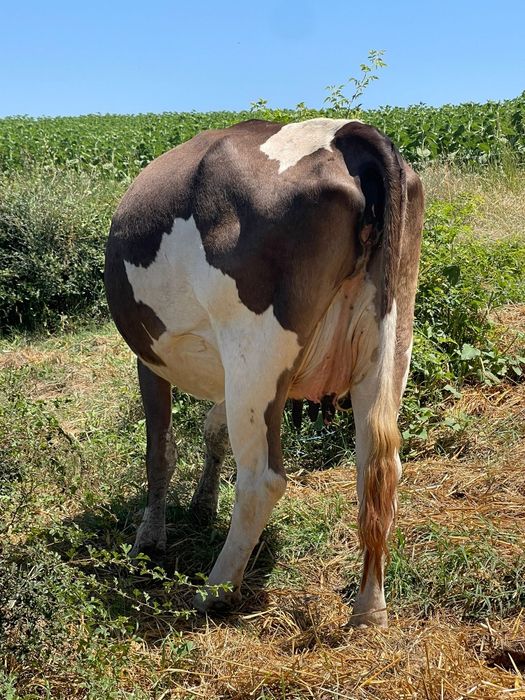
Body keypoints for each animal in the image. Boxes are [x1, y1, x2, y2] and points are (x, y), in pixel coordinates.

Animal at [104, 117, 424, 627]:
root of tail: (346, 134)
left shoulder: (151, 357)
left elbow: (160, 451)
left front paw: (149, 539)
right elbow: (212, 429)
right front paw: (203, 503)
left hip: (255, 356)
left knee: (262, 480)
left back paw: (215, 590)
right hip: (390, 341)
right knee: (378, 465)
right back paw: (370, 607)